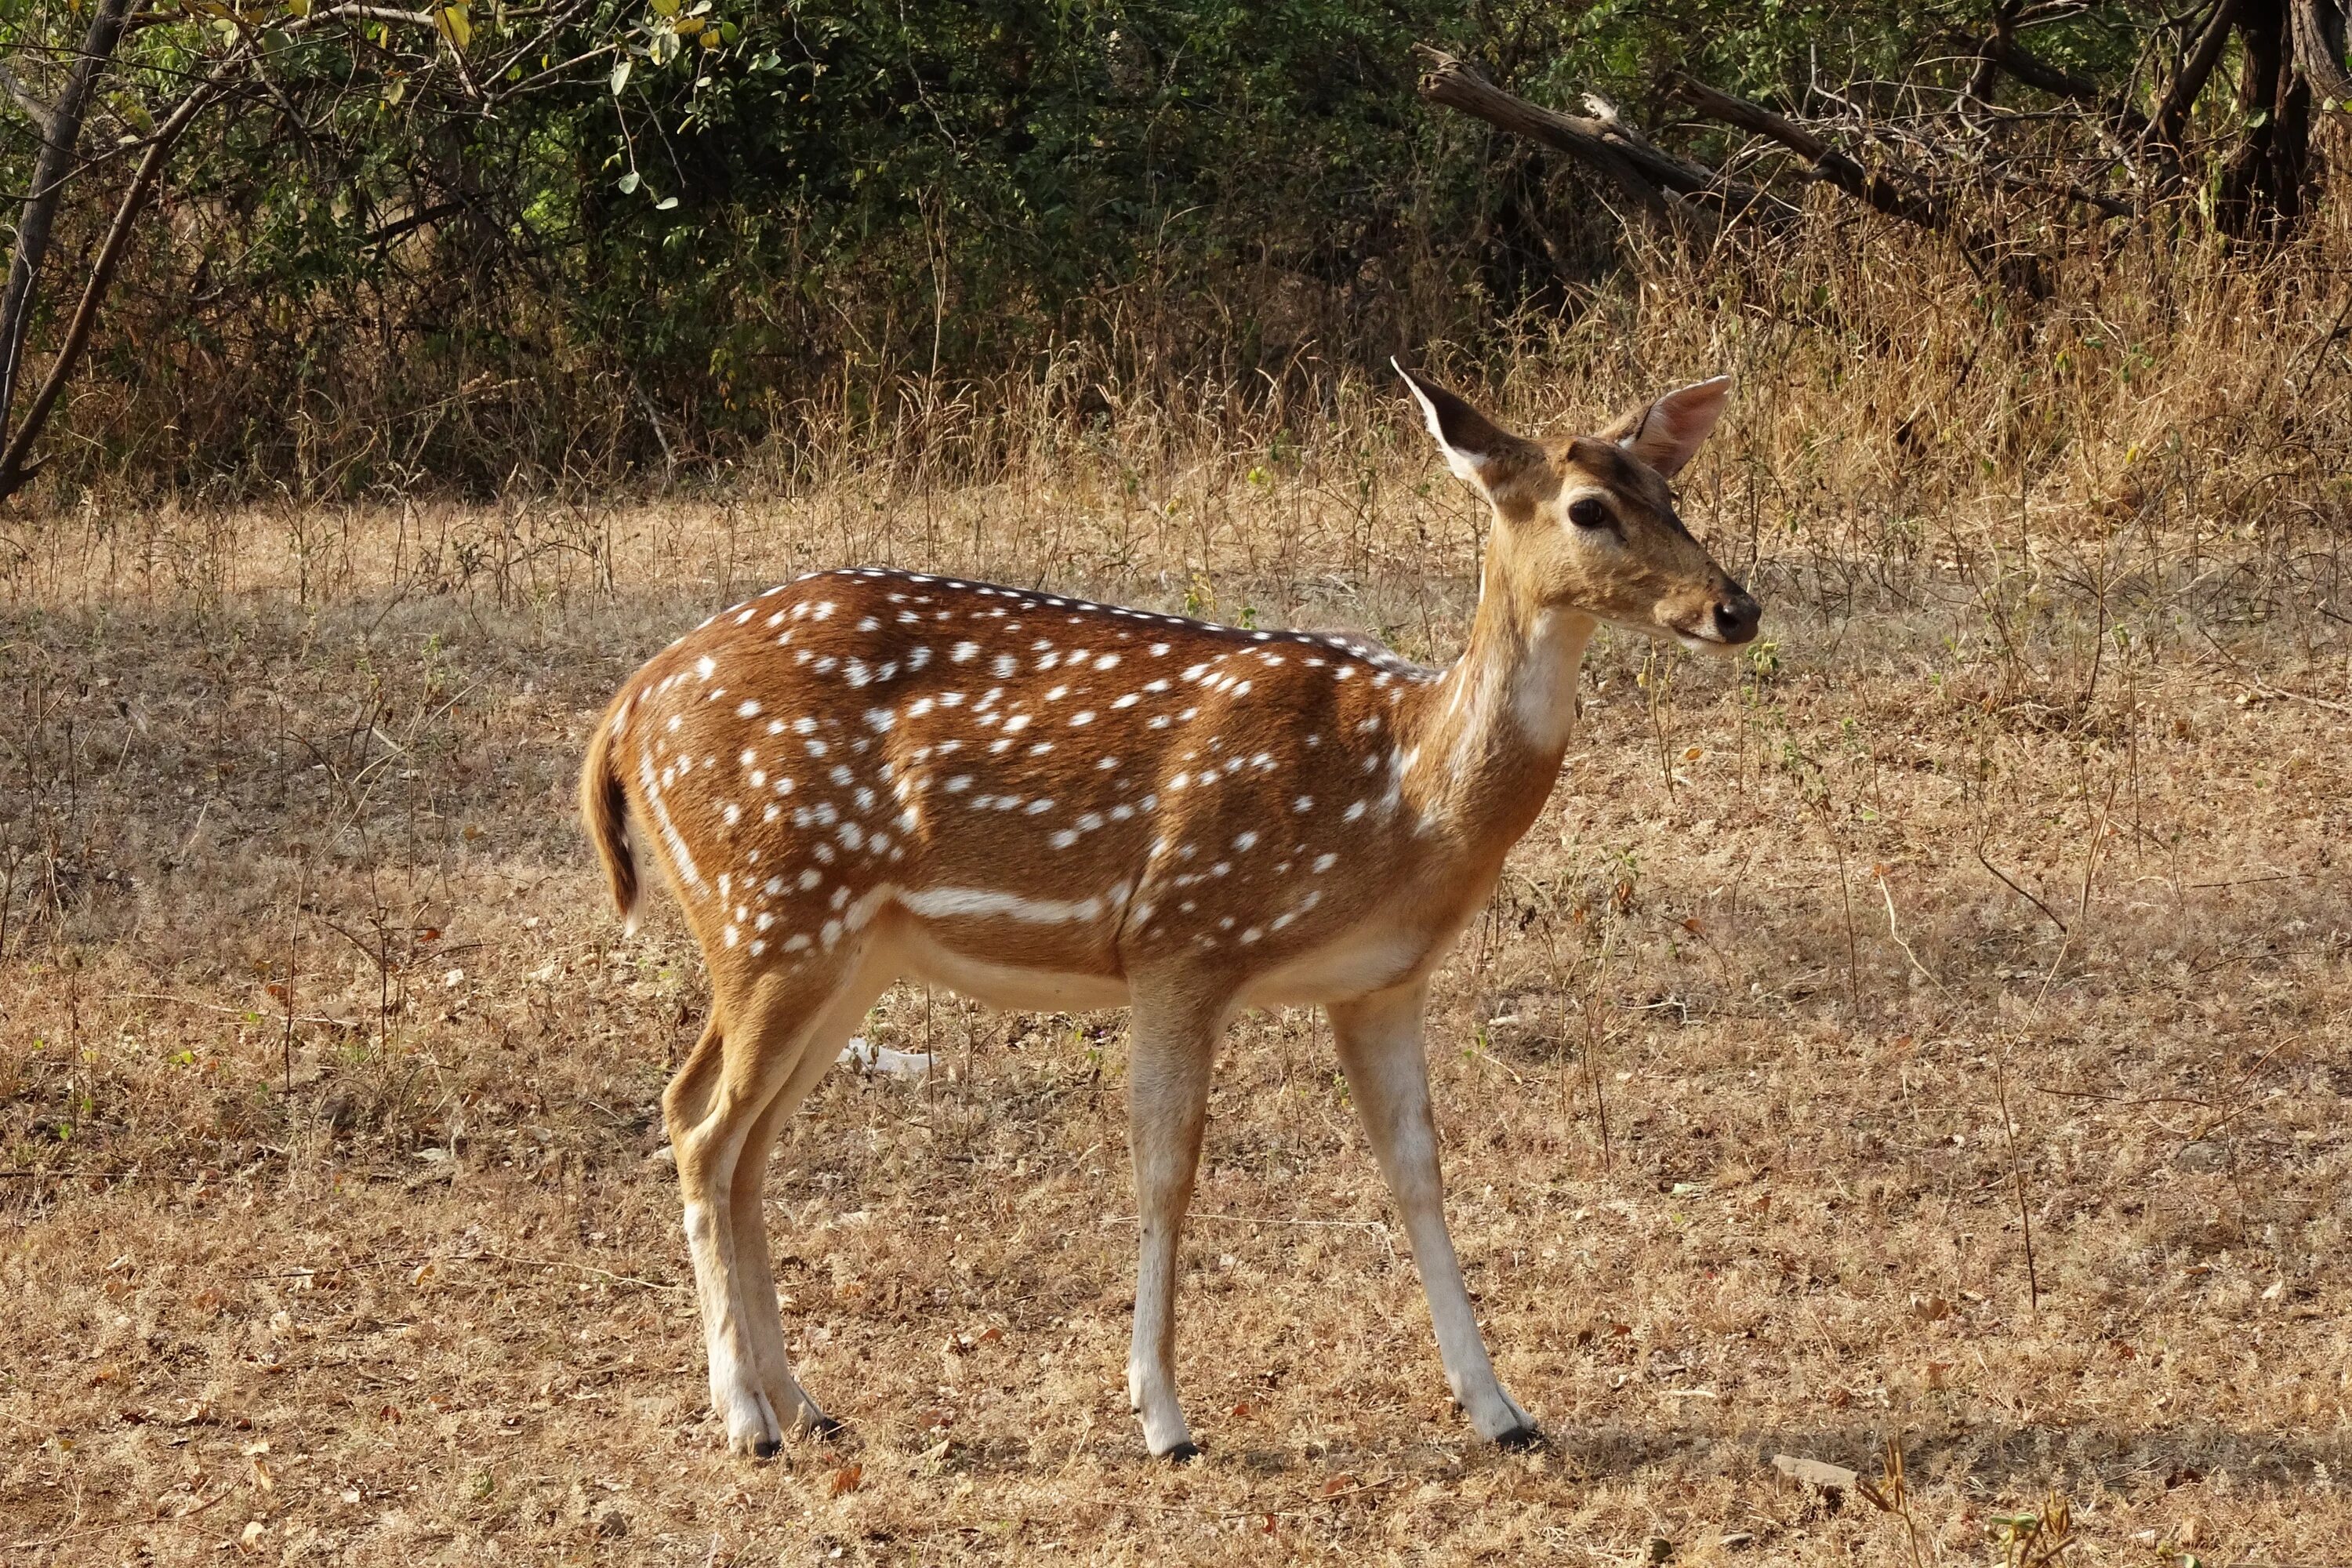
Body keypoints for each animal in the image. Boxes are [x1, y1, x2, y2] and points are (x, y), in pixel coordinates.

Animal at [583, 364, 1769, 1457]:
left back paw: (807, 1404)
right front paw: (1163, 1416)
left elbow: (1419, 1172)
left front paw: (1502, 1408)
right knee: (699, 1121)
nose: (1736, 606)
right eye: (1590, 508)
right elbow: (1167, 1168)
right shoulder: (1183, 936)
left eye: (1670, 488)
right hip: (769, 911)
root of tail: (629, 709)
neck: (1403, 794)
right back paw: (746, 1418)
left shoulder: (1382, 981)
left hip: (842, 949)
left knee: (745, 1138)